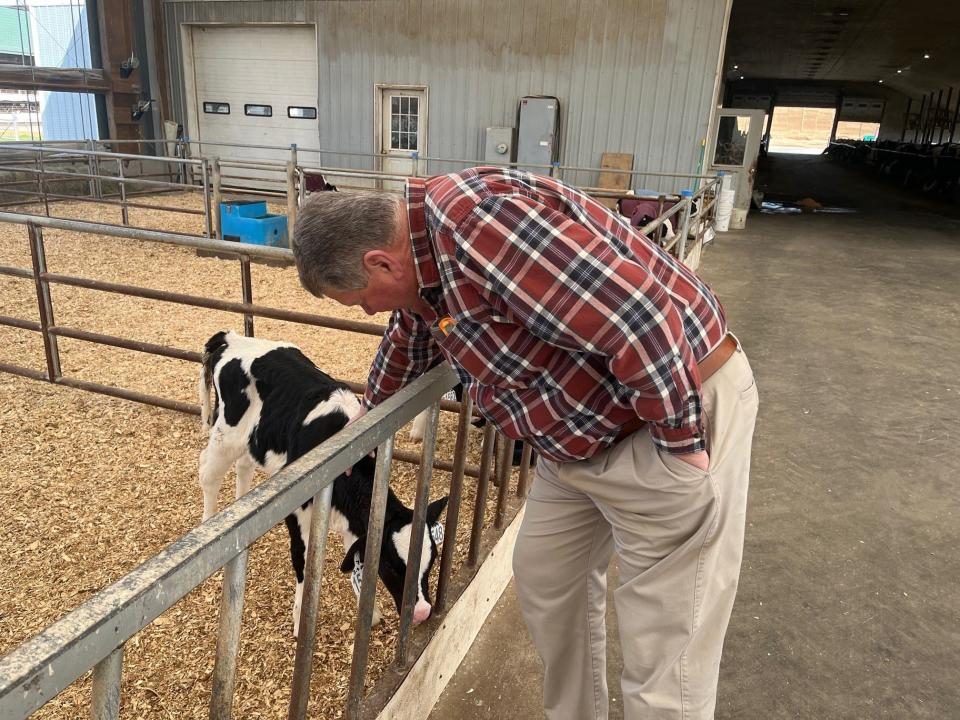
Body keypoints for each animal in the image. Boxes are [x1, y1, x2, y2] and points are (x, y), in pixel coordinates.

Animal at [201, 332, 448, 636]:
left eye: (431, 560)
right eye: (392, 566)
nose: (423, 611)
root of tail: (231, 337)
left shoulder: (357, 520)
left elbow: (356, 558)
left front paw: (370, 612)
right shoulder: (298, 513)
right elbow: (303, 562)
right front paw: (300, 621)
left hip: (254, 440)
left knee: (243, 466)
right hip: (226, 434)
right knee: (207, 473)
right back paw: (210, 523)